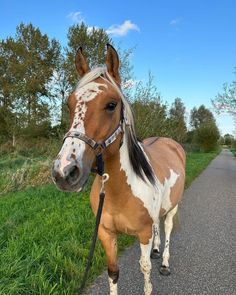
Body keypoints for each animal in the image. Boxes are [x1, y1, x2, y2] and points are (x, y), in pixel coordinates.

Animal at [52, 44, 186, 295]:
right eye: (70, 104)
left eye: (111, 105)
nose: (64, 172)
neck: (119, 190)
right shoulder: (106, 233)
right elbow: (113, 272)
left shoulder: (143, 234)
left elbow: (145, 270)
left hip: (172, 207)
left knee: (167, 227)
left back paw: (164, 262)